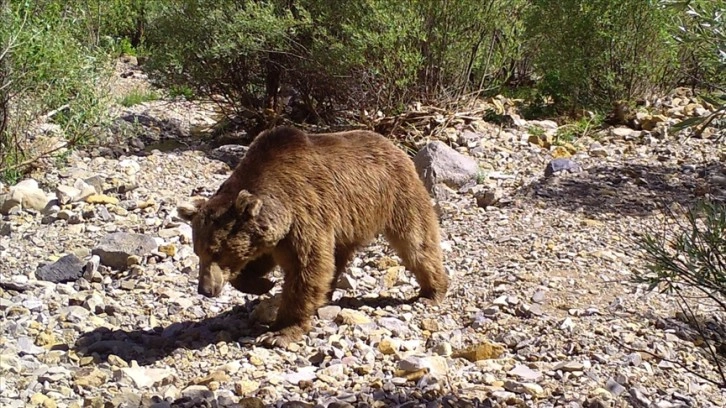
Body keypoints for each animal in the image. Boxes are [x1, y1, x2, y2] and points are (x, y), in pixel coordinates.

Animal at [178, 126, 450, 348]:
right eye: (198, 251)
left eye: (216, 251)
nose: (205, 290)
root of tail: (395, 147)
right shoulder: (274, 235)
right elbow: (260, 261)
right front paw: (263, 284)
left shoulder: (304, 214)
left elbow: (306, 267)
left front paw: (279, 332)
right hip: (349, 224)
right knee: (338, 258)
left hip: (396, 195)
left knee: (416, 242)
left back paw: (432, 292)